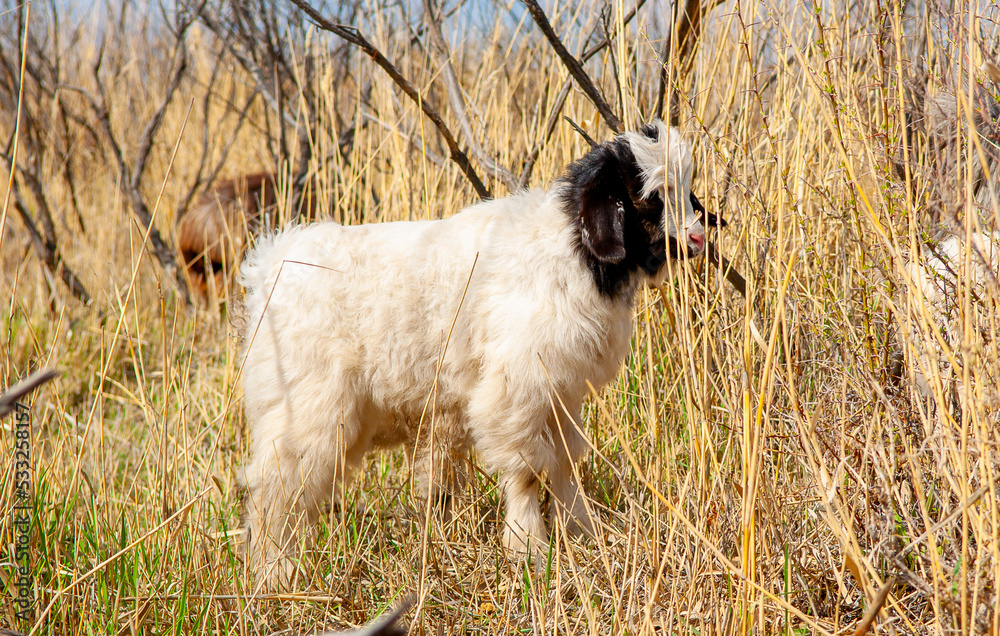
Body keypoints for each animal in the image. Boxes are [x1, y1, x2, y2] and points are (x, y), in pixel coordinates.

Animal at [237, 120, 717, 586]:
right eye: (649, 197)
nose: (697, 236)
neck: (571, 252)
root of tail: (271, 264)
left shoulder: (560, 393)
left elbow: (565, 463)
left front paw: (581, 531)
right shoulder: (515, 390)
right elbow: (527, 470)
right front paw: (528, 547)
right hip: (308, 406)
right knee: (277, 487)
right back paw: (275, 572)